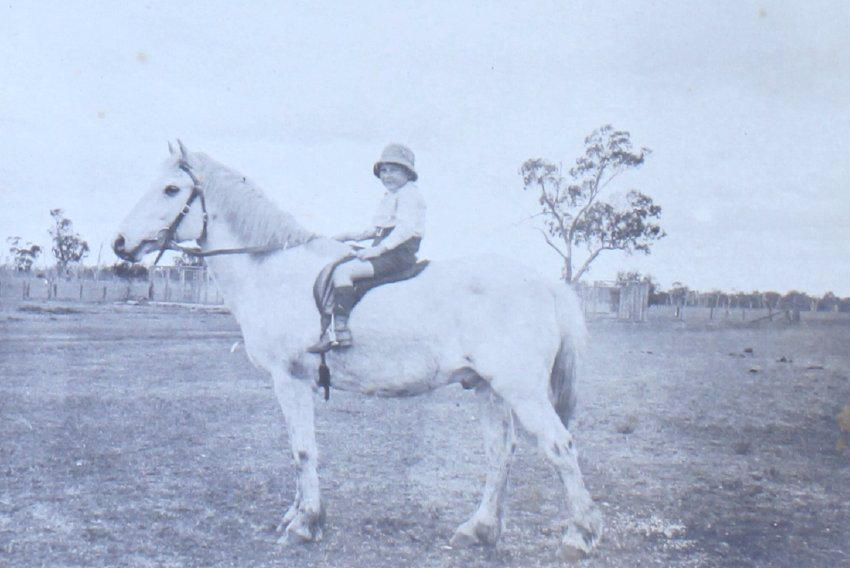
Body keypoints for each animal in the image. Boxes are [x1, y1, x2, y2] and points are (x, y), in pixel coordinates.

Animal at [112, 141, 603, 560]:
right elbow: (298, 449)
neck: (272, 270)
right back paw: (478, 530)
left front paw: (305, 524)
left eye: (171, 189)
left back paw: (578, 536)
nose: (120, 243)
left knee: (560, 447)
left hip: (521, 391)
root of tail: (545, 283)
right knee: (500, 454)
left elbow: (303, 451)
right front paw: (297, 514)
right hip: (488, 388)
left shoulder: (290, 380)